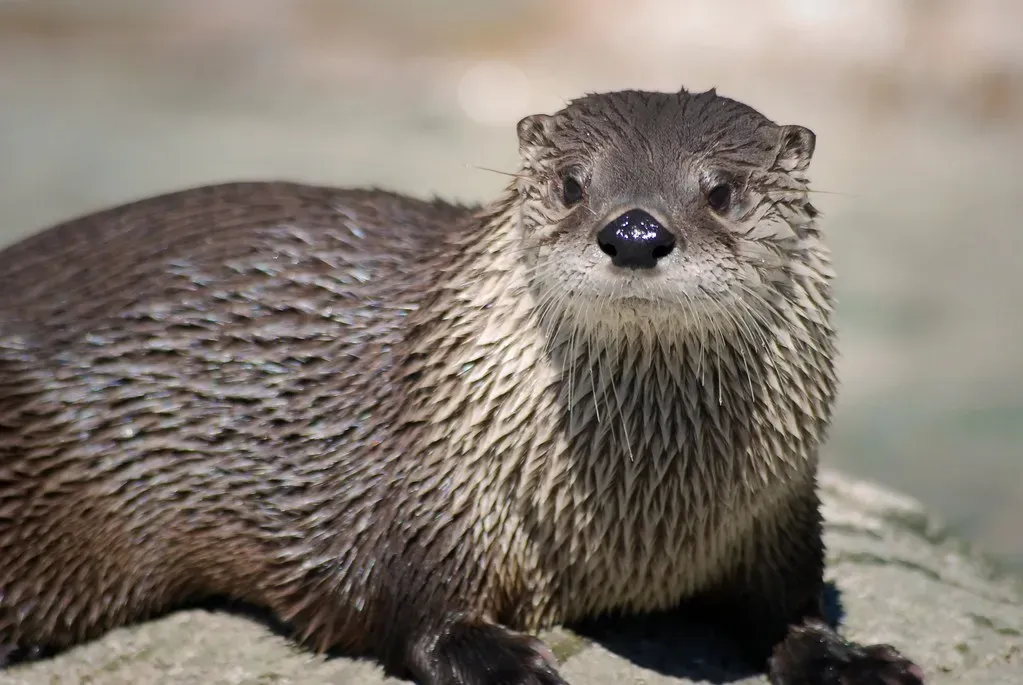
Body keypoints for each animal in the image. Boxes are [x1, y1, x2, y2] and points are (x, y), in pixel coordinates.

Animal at [0, 87, 923, 685]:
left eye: (722, 192)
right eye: (572, 184)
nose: (633, 232)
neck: (637, 526)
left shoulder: (777, 506)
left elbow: (793, 603)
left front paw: (846, 658)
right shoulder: (430, 484)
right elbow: (408, 603)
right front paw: (504, 660)